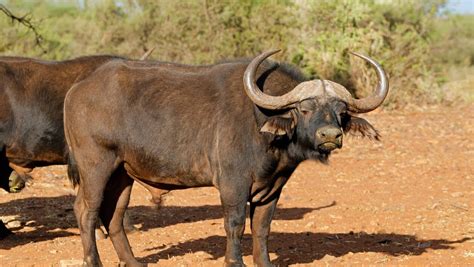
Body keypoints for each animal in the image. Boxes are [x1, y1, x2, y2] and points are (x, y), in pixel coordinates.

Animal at [64, 49, 388, 266]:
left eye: (341, 112)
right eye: (304, 109)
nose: (330, 135)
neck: (262, 123)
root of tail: (77, 89)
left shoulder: (272, 189)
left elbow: (262, 227)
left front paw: (264, 262)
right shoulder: (234, 184)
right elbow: (235, 223)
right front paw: (235, 261)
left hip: (123, 173)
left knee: (114, 215)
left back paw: (132, 261)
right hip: (96, 167)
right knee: (86, 211)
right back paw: (93, 261)